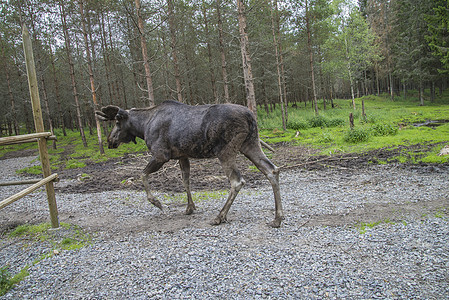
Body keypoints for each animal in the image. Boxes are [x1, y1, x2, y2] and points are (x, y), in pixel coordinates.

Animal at [95, 100, 284, 227]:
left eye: (117, 121)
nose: (110, 140)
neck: (143, 126)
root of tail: (250, 116)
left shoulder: (161, 155)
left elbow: (142, 175)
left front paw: (157, 203)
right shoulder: (182, 155)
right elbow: (186, 180)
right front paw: (190, 207)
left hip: (226, 151)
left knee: (237, 181)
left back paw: (220, 216)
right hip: (250, 144)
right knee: (272, 170)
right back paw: (277, 218)